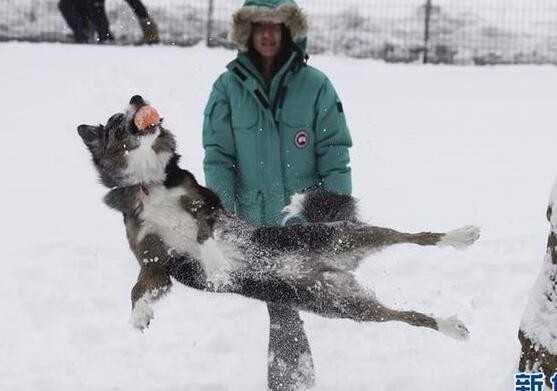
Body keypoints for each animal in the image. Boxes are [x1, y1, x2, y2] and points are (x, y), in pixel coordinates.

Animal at [77, 95, 478, 340]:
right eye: (115, 120)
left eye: (121, 111)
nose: (136, 97)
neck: (148, 182)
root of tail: (334, 269)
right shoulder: (156, 260)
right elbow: (138, 288)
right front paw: (139, 316)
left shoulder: (209, 206)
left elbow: (205, 235)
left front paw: (216, 264)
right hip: (348, 307)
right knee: (406, 316)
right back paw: (450, 326)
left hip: (346, 235)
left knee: (415, 236)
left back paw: (459, 237)